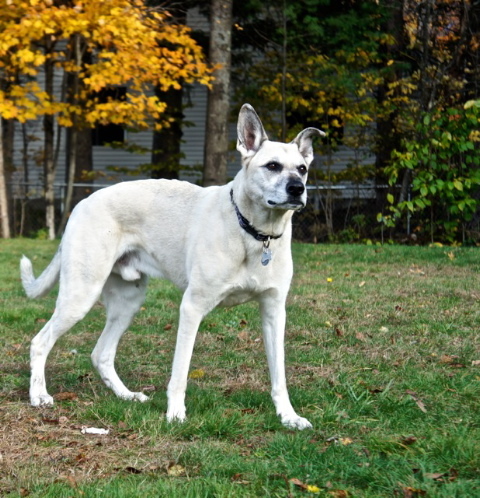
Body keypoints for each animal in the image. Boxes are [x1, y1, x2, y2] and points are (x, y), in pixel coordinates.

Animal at [20, 103, 324, 430]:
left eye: (302, 169)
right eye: (272, 166)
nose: (297, 189)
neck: (253, 233)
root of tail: (82, 203)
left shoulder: (274, 311)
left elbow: (279, 375)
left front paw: (288, 416)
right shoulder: (191, 307)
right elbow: (180, 371)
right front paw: (175, 413)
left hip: (128, 302)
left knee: (101, 353)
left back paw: (127, 396)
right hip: (80, 295)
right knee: (40, 342)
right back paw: (39, 396)